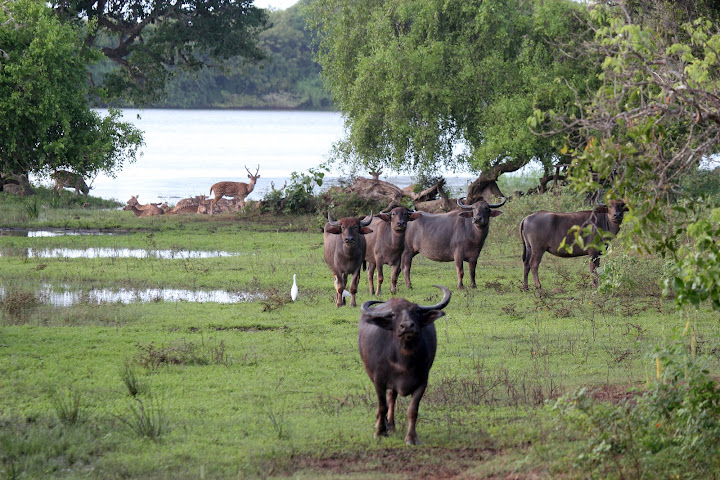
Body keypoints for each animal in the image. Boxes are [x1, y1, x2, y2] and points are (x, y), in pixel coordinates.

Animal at [358, 284, 452, 444]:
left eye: (417, 311)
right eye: (393, 314)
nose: (407, 326)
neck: (404, 361)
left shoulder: (422, 382)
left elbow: (412, 410)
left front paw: (411, 438)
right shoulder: (379, 381)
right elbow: (382, 406)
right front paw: (380, 431)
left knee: (392, 398)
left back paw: (392, 425)